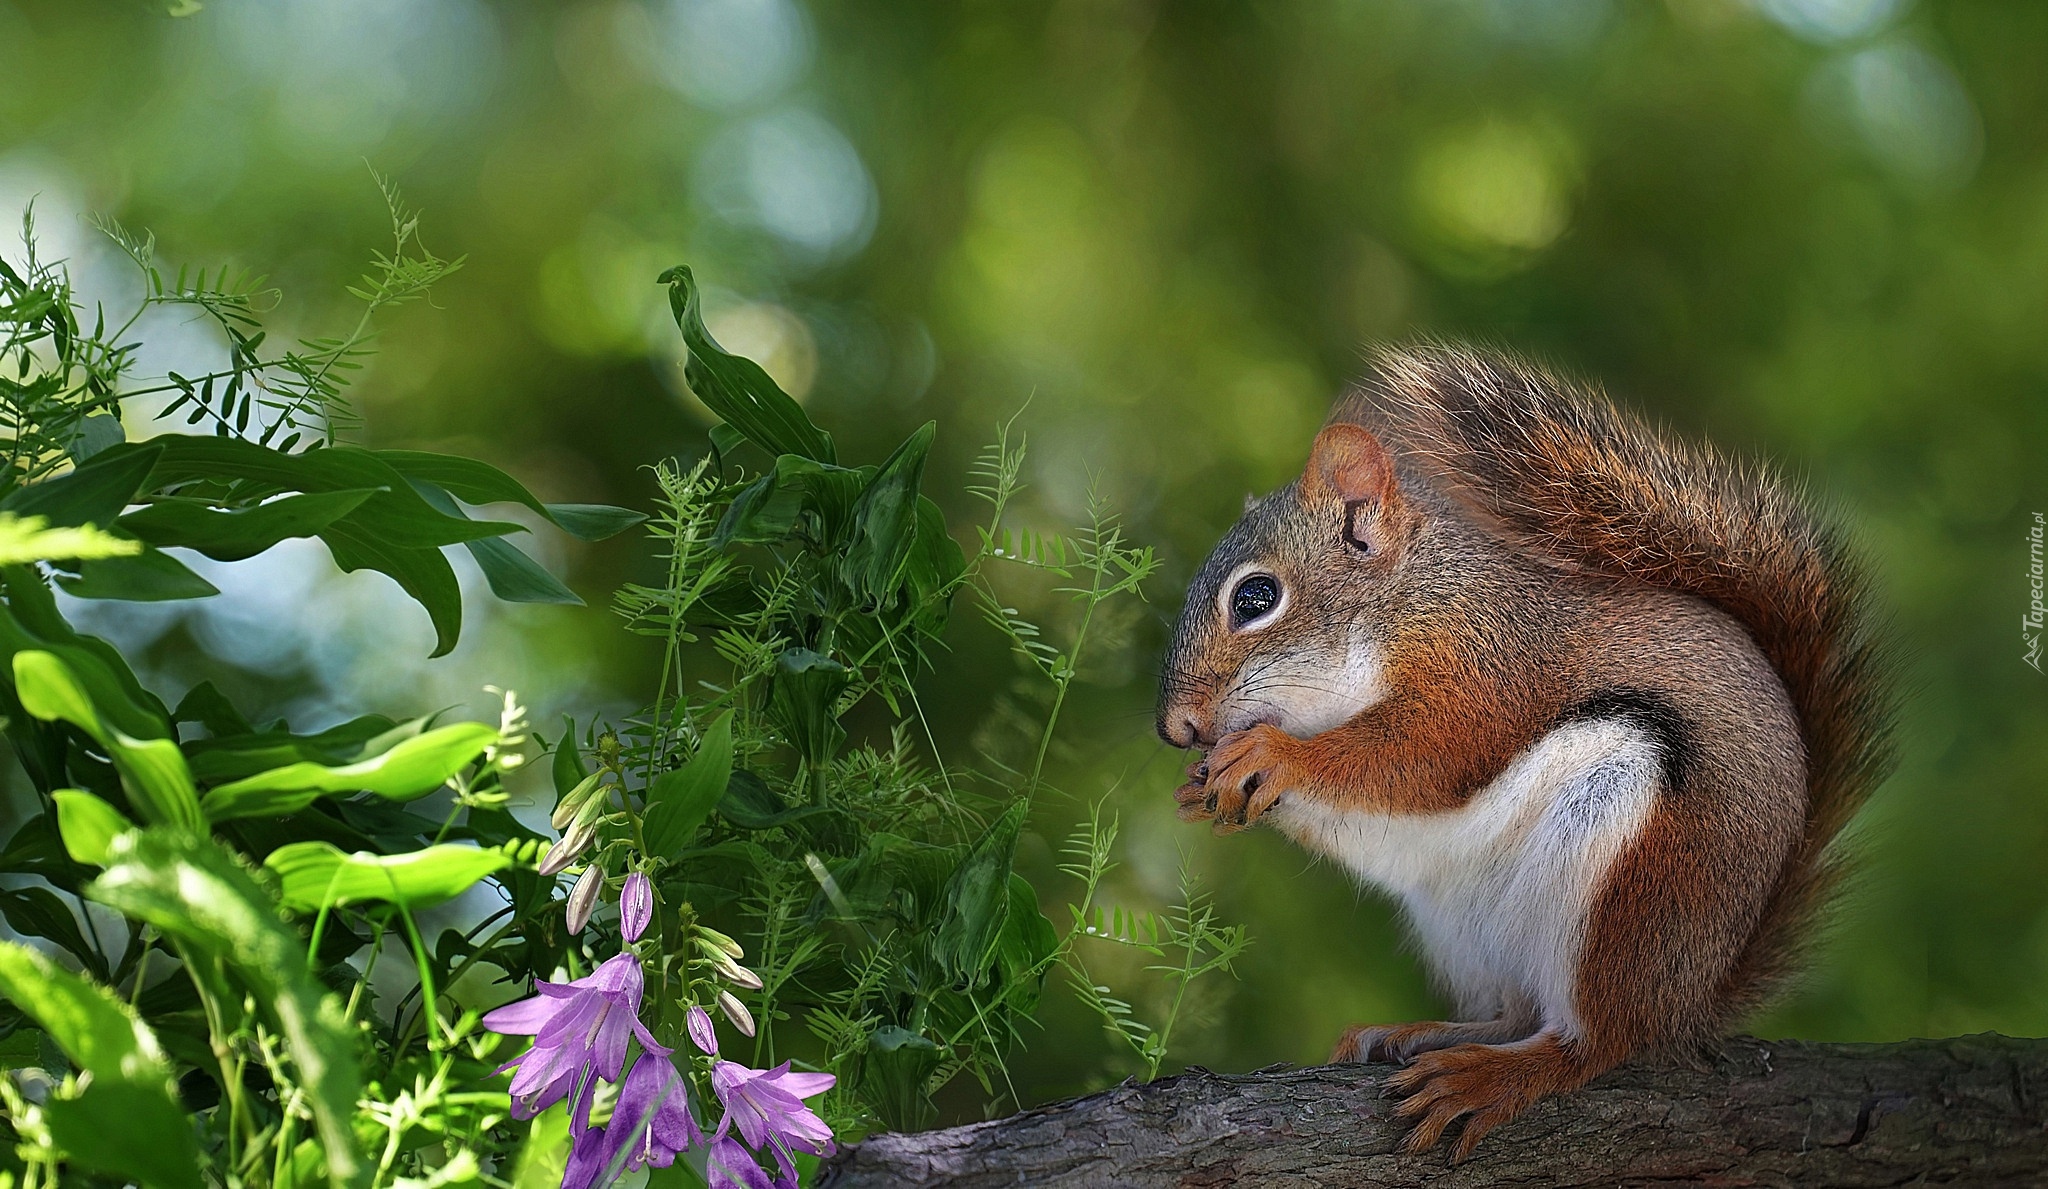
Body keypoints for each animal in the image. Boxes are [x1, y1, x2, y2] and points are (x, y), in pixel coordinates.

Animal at [1163, 345, 1892, 1162]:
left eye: (1256, 598)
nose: (1176, 728)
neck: (1411, 600)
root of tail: (1691, 996)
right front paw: (1201, 787)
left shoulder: (1487, 668)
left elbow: (1428, 757)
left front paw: (1273, 753)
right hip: (1465, 924)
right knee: (1518, 1011)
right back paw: (1420, 1033)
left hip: (1634, 876)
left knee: (1594, 1039)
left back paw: (1492, 1077)